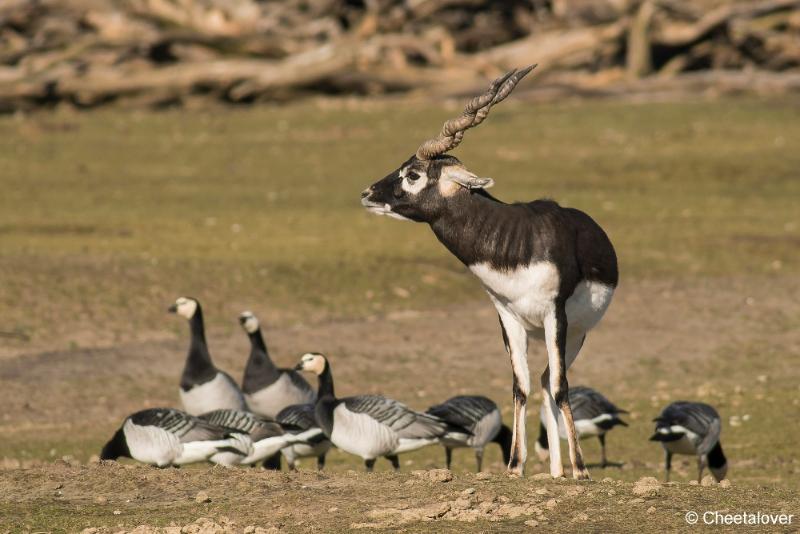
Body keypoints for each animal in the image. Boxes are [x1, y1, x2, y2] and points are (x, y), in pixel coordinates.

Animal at [360, 67, 620, 482]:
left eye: (412, 174)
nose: (368, 193)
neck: (516, 244)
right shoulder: (507, 316)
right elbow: (520, 386)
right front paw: (515, 466)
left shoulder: (555, 314)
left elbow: (562, 387)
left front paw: (581, 470)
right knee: (541, 381)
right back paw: (555, 471)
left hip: (576, 334)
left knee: (553, 381)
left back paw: (567, 469)